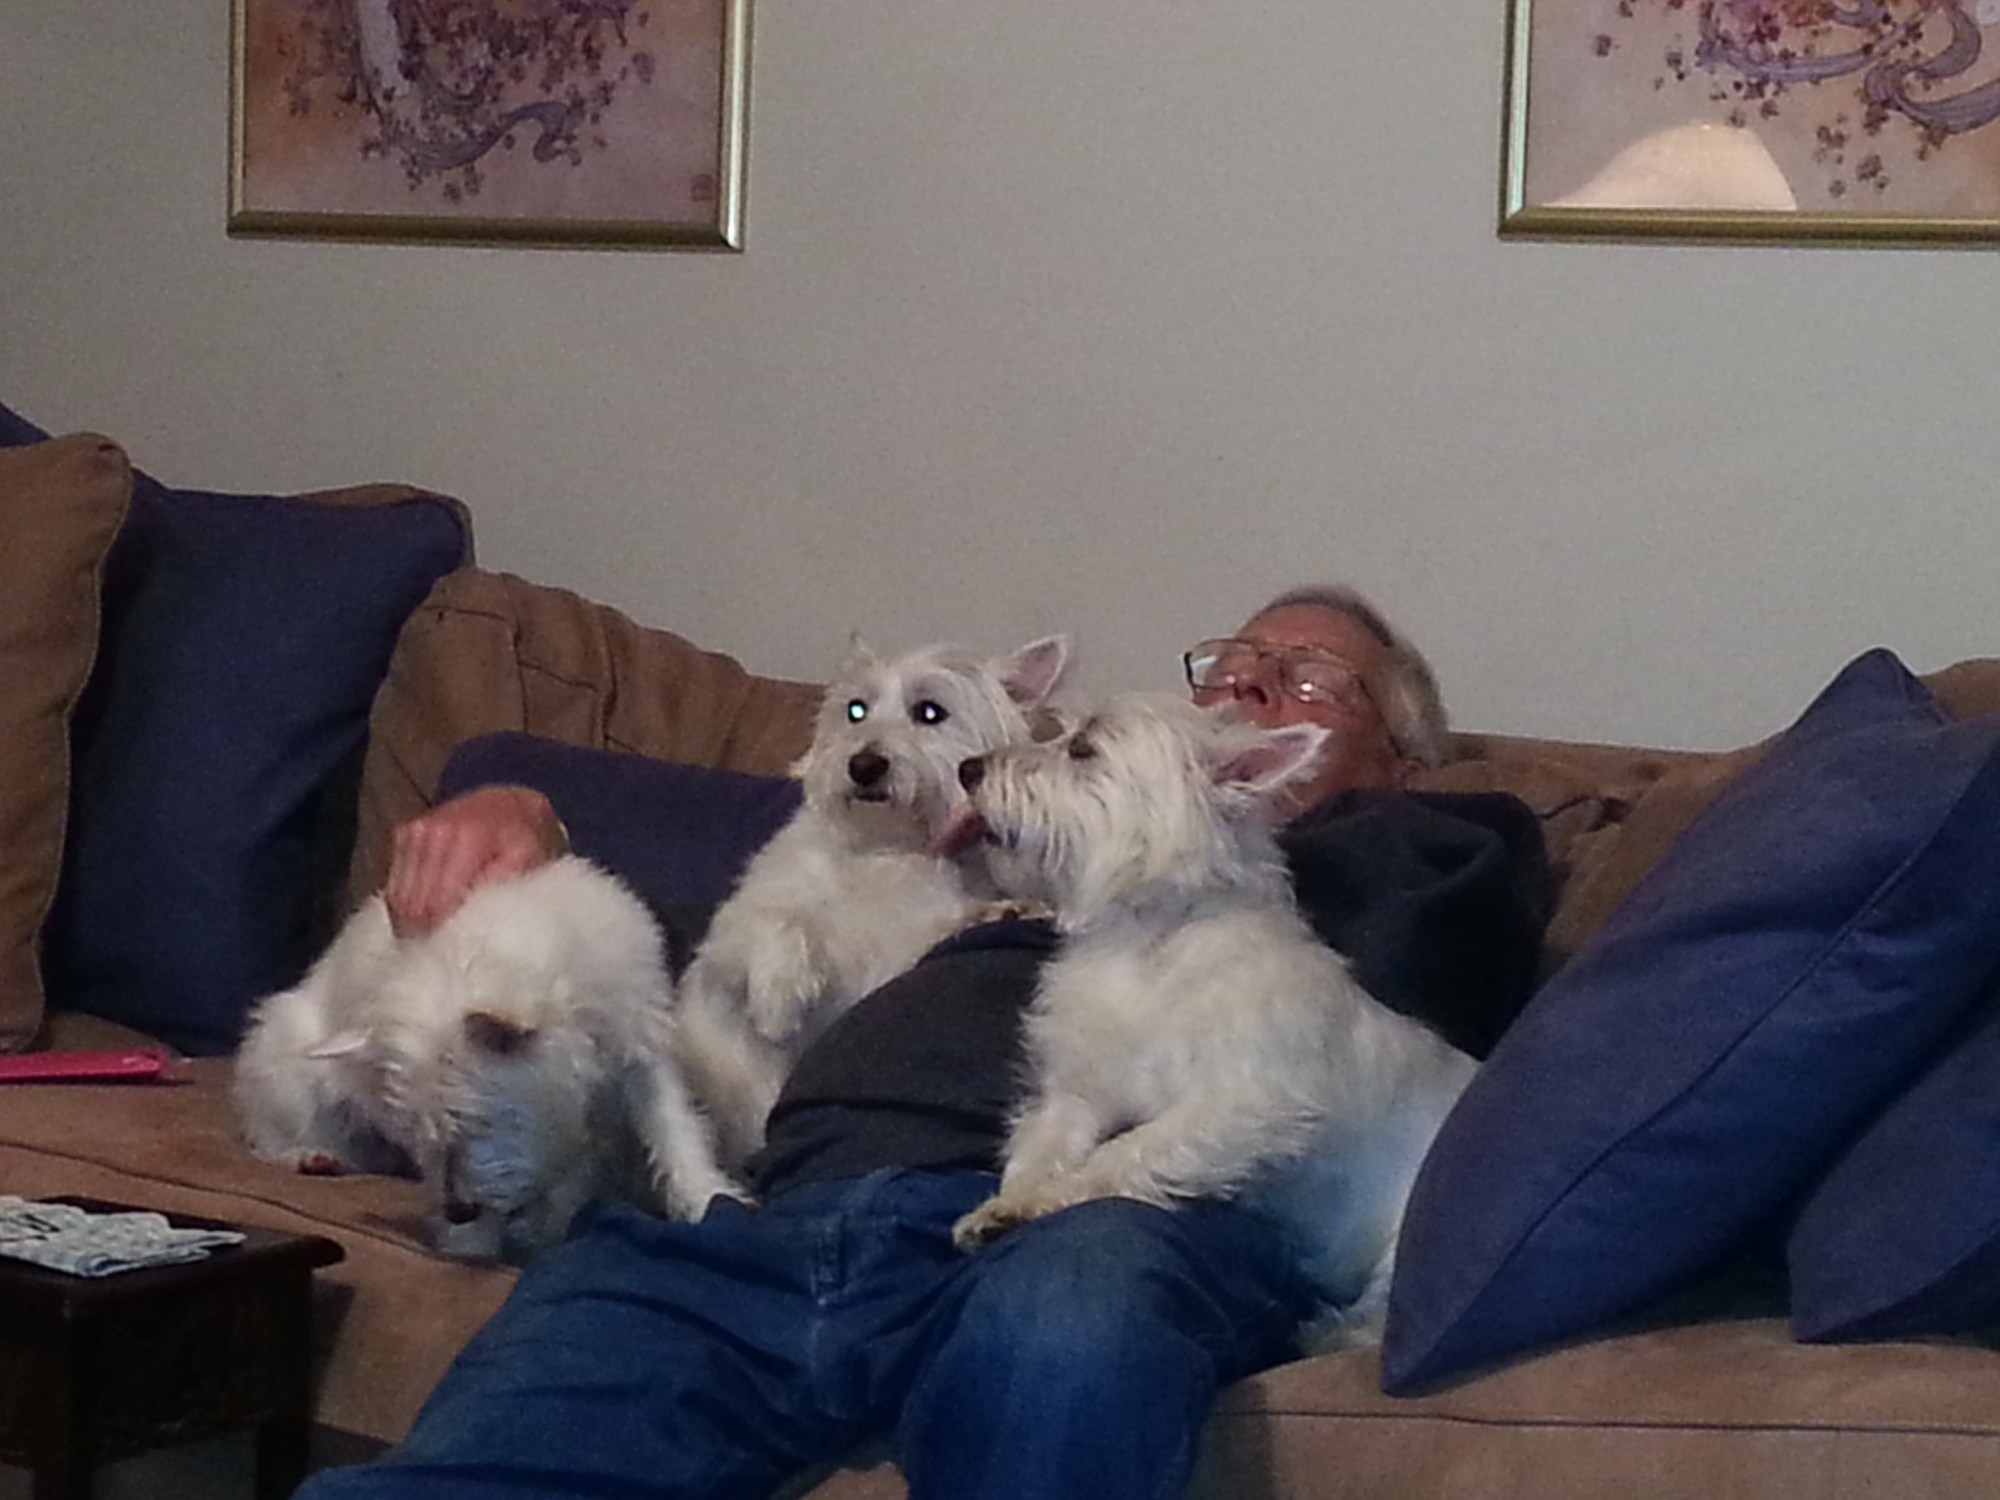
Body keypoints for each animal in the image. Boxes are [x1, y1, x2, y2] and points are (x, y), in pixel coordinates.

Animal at [233, 855, 736, 1260]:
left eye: (475, 1121)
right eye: (420, 1135)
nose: (458, 1212)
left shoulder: (640, 1048)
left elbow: (673, 1127)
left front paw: (706, 1195)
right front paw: (473, 1243)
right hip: (290, 1066)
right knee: (271, 1132)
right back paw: (309, 1153)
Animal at [672, 632, 1071, 1170]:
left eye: (930, 712)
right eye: (855, 710)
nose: (862, 765)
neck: (885, 848)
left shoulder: (891, 960)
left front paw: (1003, 910)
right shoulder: (728, 946)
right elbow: (779, 923)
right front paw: (778, 1001)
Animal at [942, 692, 1476, 1346]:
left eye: (1083, 748)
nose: (968, 768)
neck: (1147, 938)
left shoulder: (1240, 1106)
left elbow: (1126, 1152)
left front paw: (1058, 1196)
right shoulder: (1079, 1095)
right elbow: (1043, 1145)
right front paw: (1006, 1205)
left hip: (1399, 1245)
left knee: (1376, 1318)